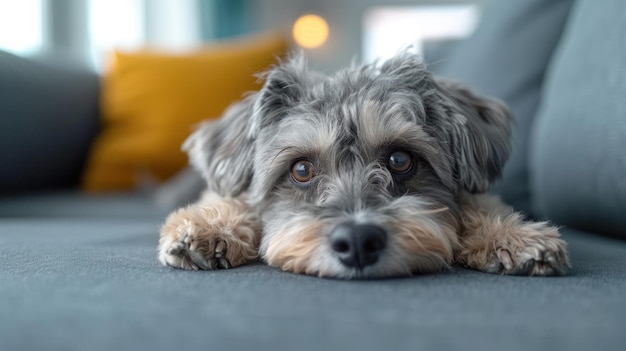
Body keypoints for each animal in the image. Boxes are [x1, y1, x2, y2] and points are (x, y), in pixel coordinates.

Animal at [158, 51, 568, 280]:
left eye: (400, 159)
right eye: (301, 170)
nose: (357, 242)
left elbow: (477, 202)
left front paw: (512, 236)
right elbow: (236, 199)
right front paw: (209, 227)